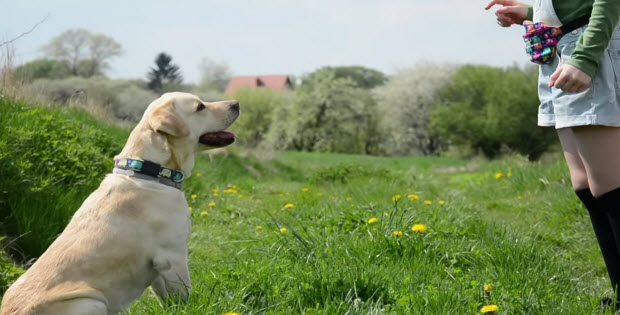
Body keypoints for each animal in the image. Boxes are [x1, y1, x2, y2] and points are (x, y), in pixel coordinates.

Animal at [1, 92, 240, 314]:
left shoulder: (159, 269)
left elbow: (166, 299)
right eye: (200, 107)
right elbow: (183, 296)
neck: (149, 171)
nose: (236, 103)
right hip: (92, 302)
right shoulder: (173, 256)